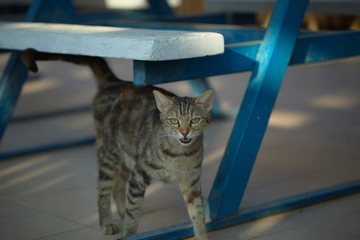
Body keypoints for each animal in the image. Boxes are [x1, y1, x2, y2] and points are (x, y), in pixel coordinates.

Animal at [21, 49, 214, 240]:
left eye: (194, 120)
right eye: (174, 121)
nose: (184, 132)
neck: (180, 155)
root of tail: (114, 81)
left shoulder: (191, 181)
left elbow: (197, 213)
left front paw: (201, 235)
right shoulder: (139, 175)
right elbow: (133, 213)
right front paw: (128, 234)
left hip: (128, 154)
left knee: (119, 184)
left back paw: (120, 210)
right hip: (109, 155)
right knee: (103, 190)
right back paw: (107, 222)